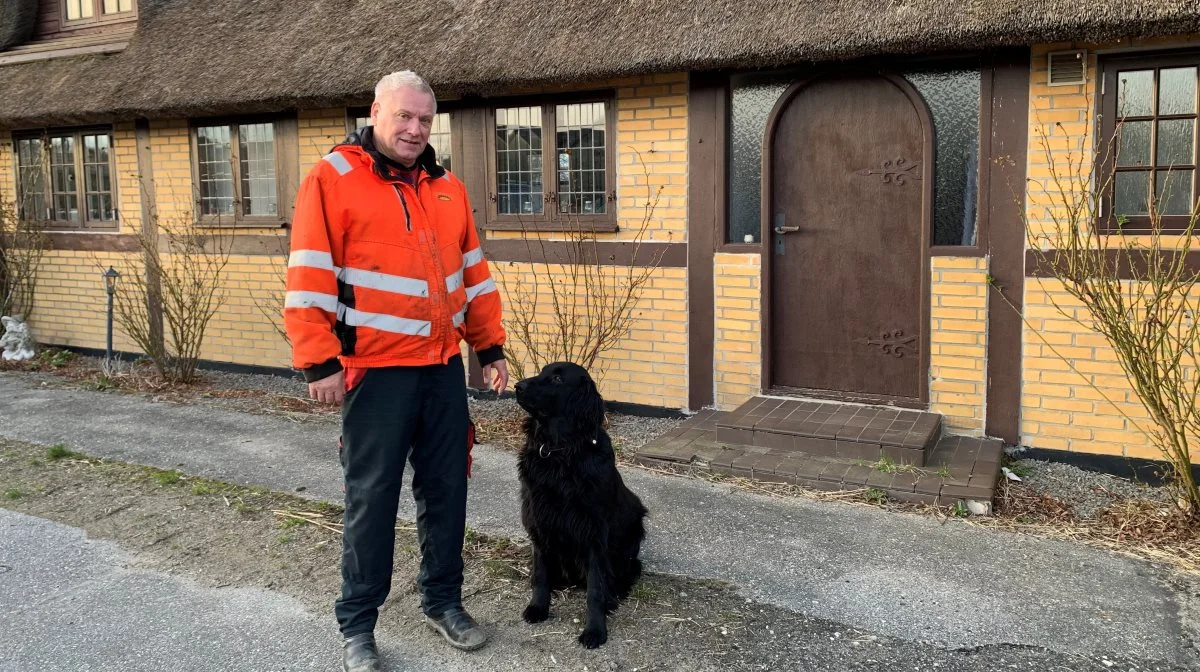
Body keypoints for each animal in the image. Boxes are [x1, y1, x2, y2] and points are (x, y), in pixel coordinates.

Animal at [513, 362, 648, 652]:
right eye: (542, 371)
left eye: (557, 379)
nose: (517, 386)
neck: (558, 451)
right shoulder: (538, 522)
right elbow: (540, 574)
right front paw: (538, 607)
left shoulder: (594, 533)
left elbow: (595, 589)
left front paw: (595, 630)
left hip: (634, 525)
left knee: (628, 572)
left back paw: (614, 597)